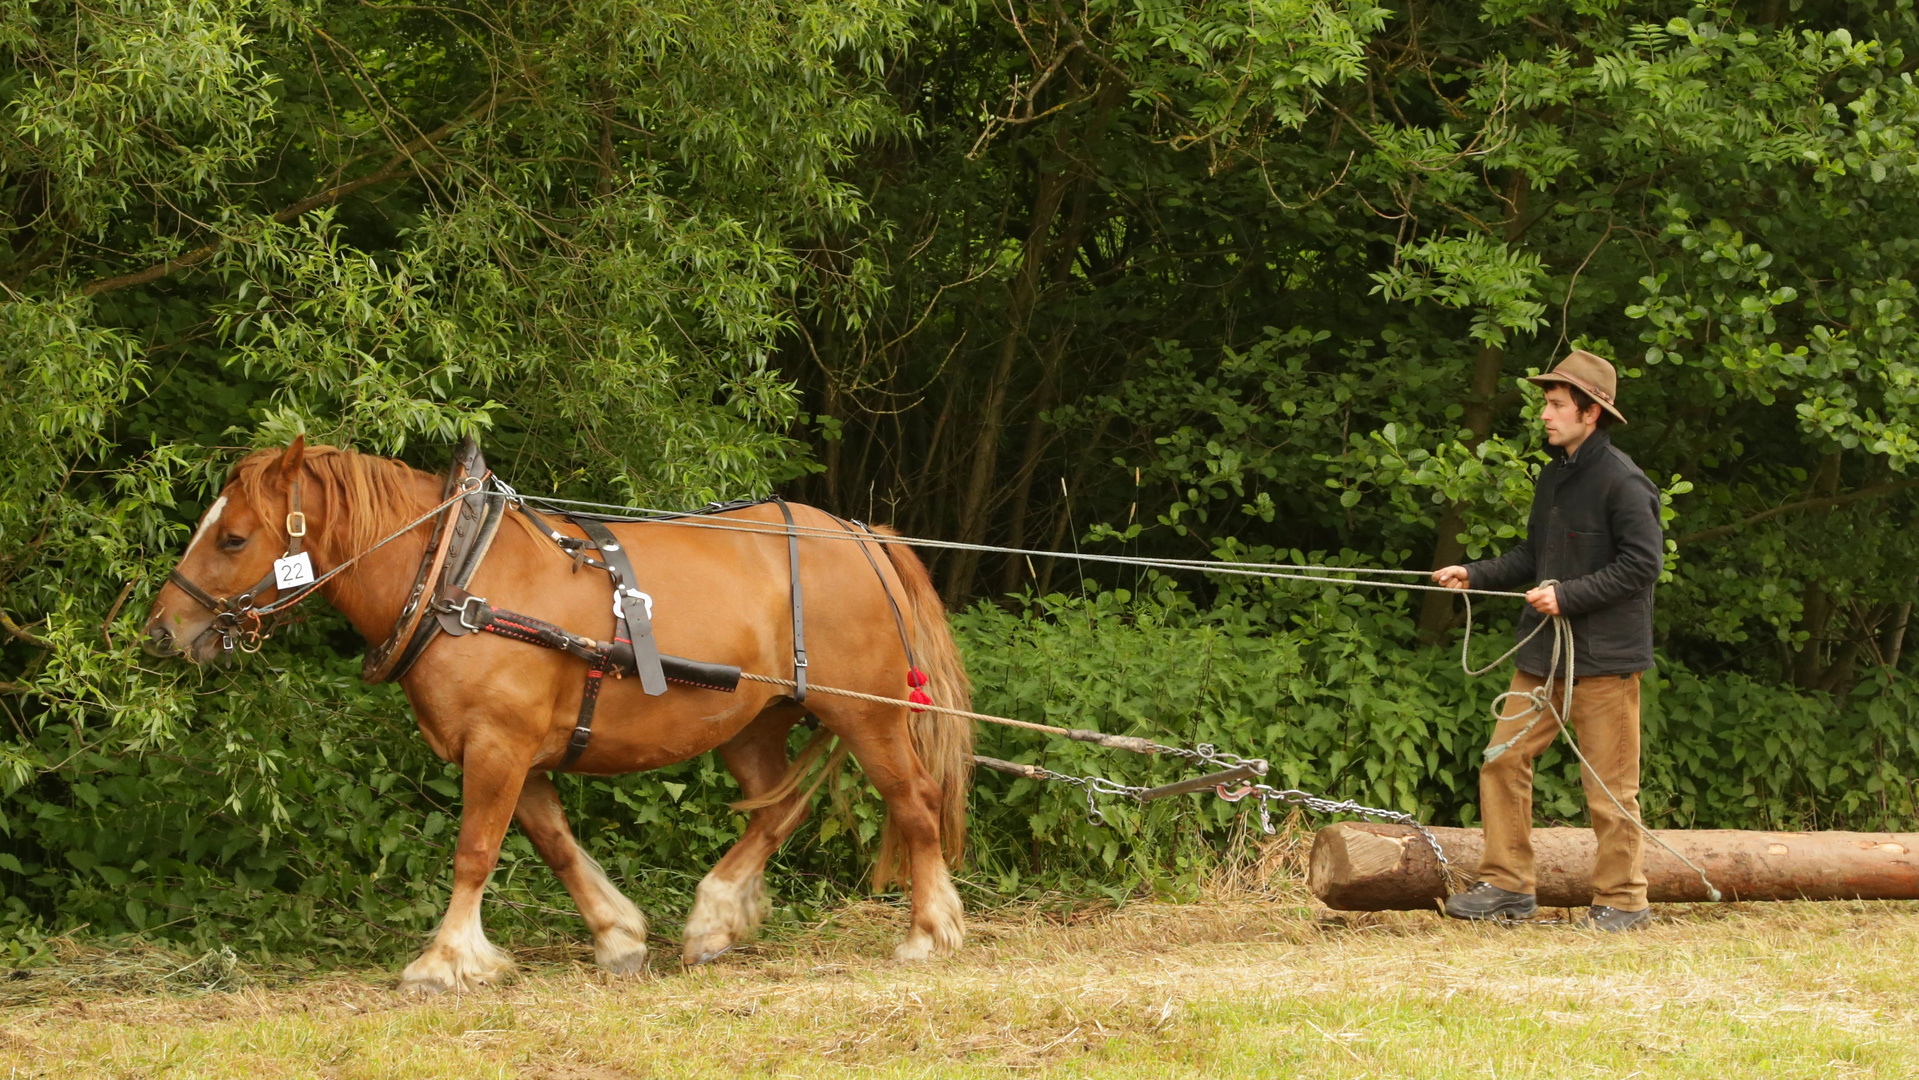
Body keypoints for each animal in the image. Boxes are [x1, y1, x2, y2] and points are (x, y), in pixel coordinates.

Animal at [143, 441, 974, 997]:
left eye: (233, 538)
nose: (160, 631)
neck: (453, 579)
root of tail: (860, 536)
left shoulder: (498, 746)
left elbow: (474, 852)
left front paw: (444, 960)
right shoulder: (516, 755)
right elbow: (556, 846)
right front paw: (618, 936)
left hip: (867, 715)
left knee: (914, 803)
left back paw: (929, 932)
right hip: (751, 724)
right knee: (780, 806)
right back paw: (714, 919)